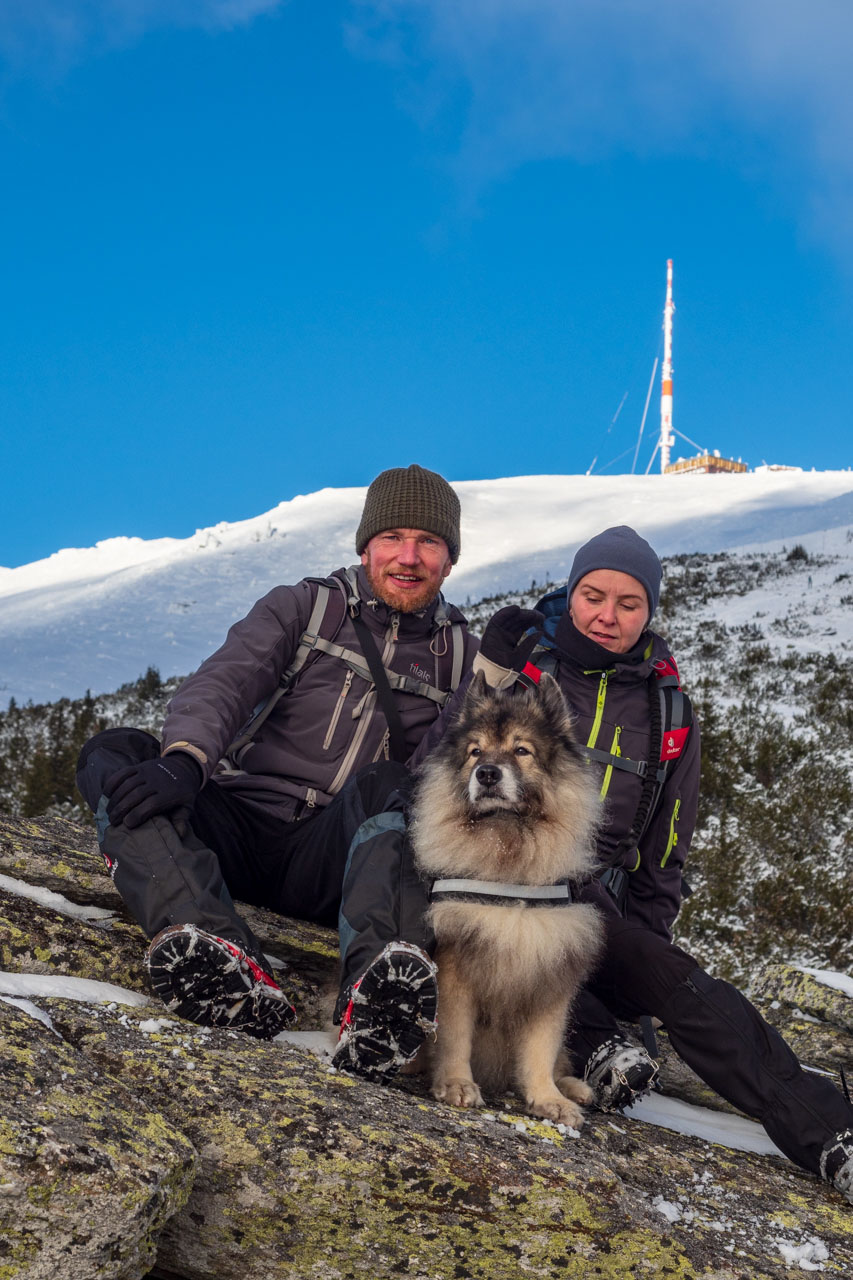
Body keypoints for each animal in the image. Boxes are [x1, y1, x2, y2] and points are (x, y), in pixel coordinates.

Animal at [409, 675, 601, 1126]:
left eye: (521, 750)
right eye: (475, 751)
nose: (487, 774)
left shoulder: (551, 973)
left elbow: (541, 1050)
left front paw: (548, 1098)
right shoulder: (456, 965)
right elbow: (454, 1036)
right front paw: (457, 1084)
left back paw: (575, 1087)